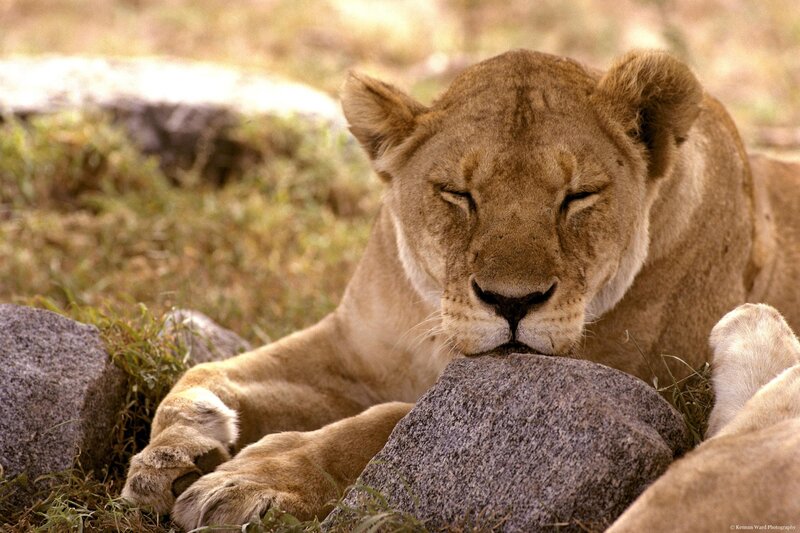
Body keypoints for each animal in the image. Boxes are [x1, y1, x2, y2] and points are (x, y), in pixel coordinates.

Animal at [121, 49, 800, 528]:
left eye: (578, 196)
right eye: (457, 193)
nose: (512, 302)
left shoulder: (637, 391)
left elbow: (387, 423)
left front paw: (255, 479)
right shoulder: (352, 350)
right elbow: (207, 374)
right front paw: (175, 452)